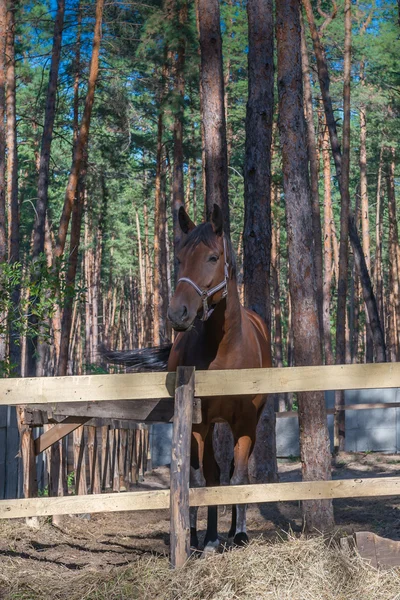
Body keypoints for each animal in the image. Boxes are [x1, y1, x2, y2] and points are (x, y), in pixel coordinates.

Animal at [106, 204, 270, 552]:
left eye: (212, 257)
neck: (224, 351)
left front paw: (239, 535)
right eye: (179, 258)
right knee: (212, 473)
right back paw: (208, 536)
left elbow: (240, 477)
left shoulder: (245, 421)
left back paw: (233, 532)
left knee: (233, 472)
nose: (177, 313)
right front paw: (198, 537)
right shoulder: (198, 422)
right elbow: (200, 479)